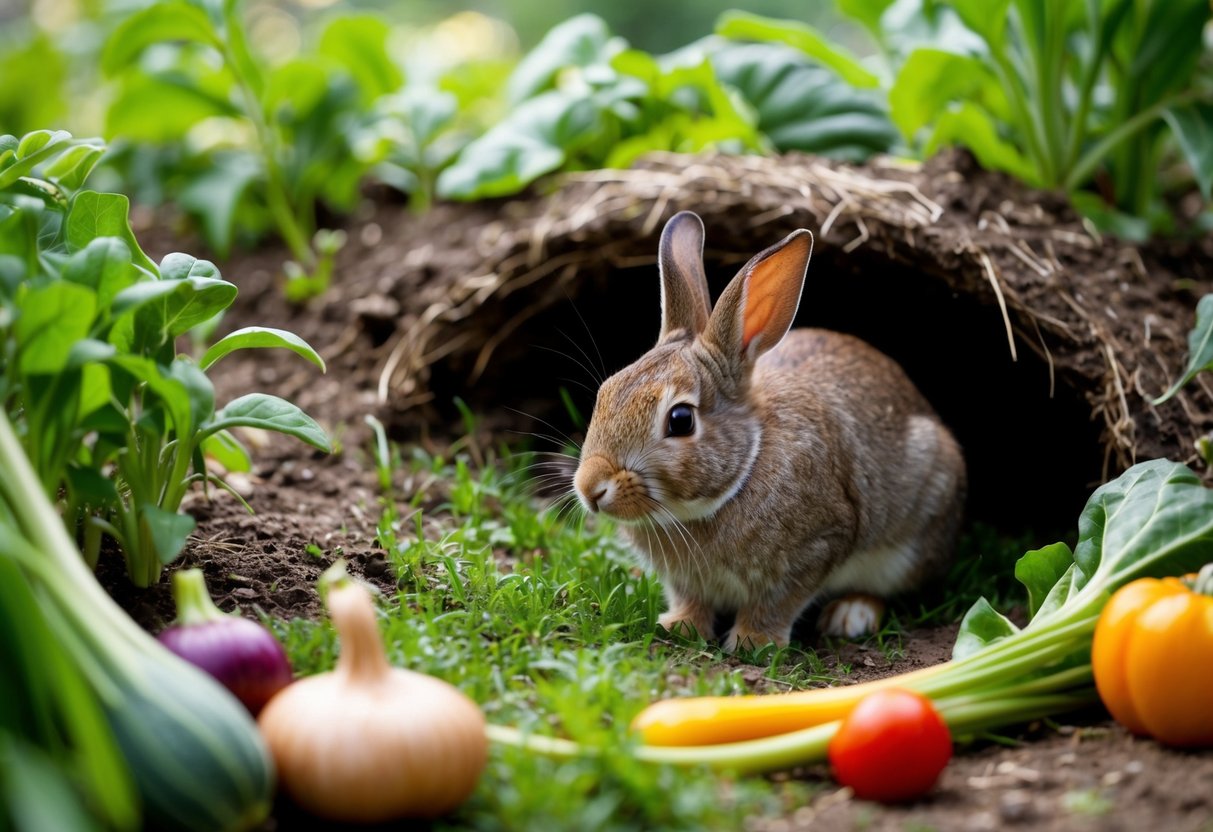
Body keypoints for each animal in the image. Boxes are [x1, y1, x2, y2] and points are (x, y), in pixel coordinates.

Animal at [572, 210, 966, 652]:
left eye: (680, 420)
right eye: (606, 392)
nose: (589, 488)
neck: (743, 471)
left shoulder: (818, 546)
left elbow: (778, 602)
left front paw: (752, 641)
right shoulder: (686, 581)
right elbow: (690, 598)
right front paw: (680, 626)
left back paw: (851, 615)